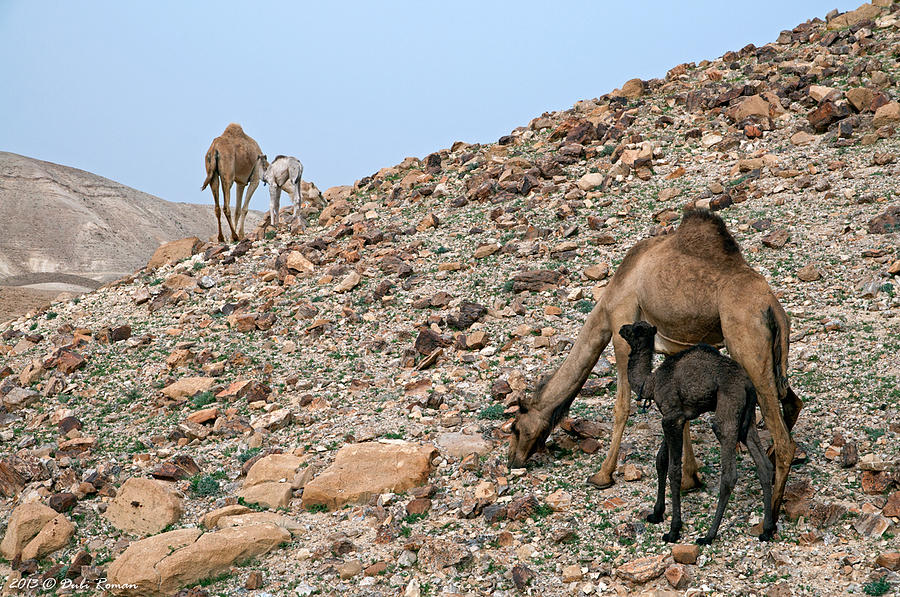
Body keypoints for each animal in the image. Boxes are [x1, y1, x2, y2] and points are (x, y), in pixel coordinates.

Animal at [510, 208, 804, 520]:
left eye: (515, 427)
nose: (511, 459)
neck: (607, 300)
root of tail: (772, 307)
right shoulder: (673, 346)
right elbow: (681, 412)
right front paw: (690, 479)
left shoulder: (621, 328)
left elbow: (622, 407)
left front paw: (602, 475)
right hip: (769, 355)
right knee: (791, 402)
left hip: (746, 343)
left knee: (784, 438)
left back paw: (768, 518)